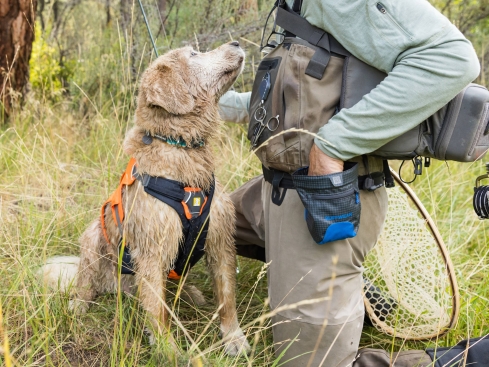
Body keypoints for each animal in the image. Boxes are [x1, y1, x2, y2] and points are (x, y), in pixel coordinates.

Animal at [39, 41, 250, 356]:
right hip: (92, 238)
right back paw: (79, 303)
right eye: (194, 54)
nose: (236, 43)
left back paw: (191, 293)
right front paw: (169, 349)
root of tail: (117, 287)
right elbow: (157, 308)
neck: (180, 146)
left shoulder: (220, 238)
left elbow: (227, 296)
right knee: (87, 282)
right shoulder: (152, 249)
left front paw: (233, 337)